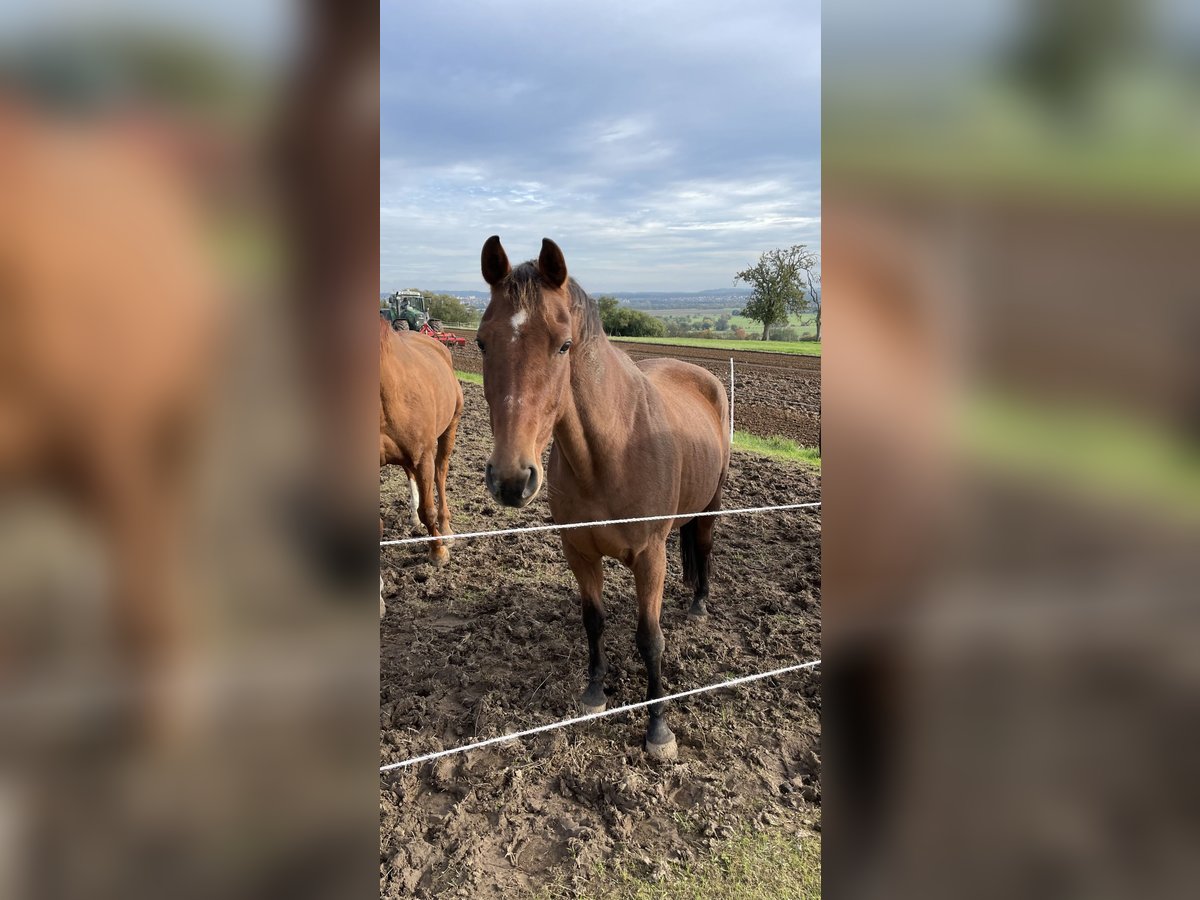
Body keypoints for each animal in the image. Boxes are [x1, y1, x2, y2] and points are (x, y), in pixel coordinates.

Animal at [379, 321, 463, 585]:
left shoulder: (423, 456)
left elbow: (429, 510)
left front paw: (438, 552)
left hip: (449, 428)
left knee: (440, 474)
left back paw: (446, 529)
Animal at [477, 236, 729, 758]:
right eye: (481, 342)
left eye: (563, 345)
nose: (510, 478)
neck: (611, 452)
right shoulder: (579, 552)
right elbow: (593, 620)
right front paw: (594, 692)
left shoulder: (650, 556)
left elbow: (650, 638)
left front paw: (658, 727)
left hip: (710, 506)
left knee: (704, 547)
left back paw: (698, 604)